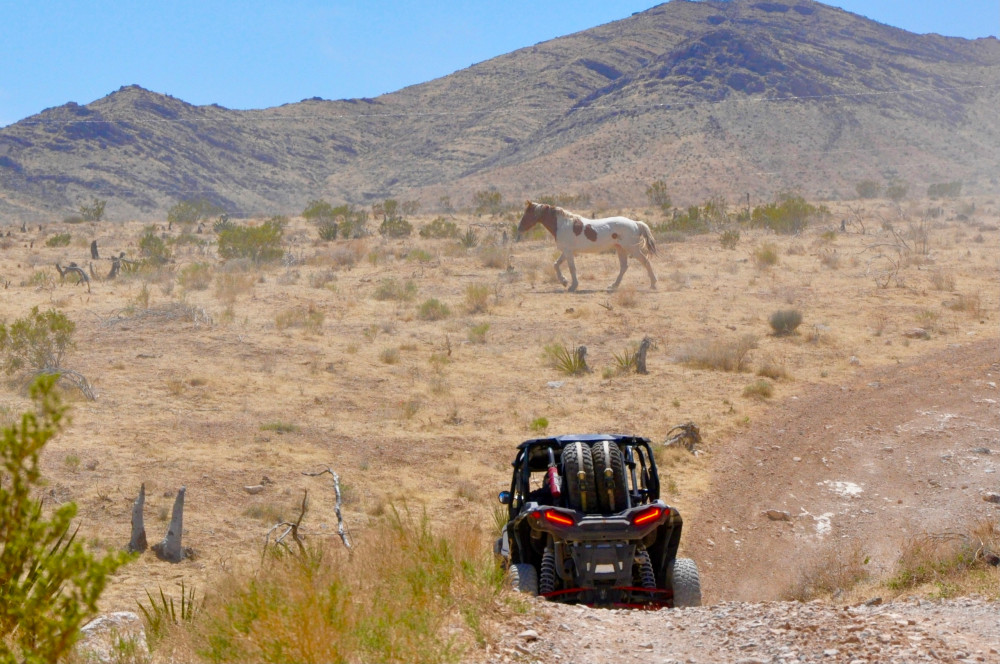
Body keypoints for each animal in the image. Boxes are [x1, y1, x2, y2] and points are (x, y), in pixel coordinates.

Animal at [516, 198, 656, 290]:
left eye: (527, 213)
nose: (519, 228)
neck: (561, 225)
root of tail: (635, 223)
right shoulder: (566, 251)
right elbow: (556, 264)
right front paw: (564, 282)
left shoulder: (568, 252)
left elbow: (572, 268)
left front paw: (572, 286)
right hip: (620, 248)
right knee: (624, 267)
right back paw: (613, 285)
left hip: (632, 249)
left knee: (645, 262)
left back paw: (653, 284)